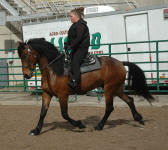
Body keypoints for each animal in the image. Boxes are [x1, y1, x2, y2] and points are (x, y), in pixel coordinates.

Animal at [17, 38, 154, 135]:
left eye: (25, 55)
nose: (26, 75)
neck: (54, 70)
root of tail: (120, 62)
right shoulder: (47, 94)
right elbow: (42, 113)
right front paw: (36, 130)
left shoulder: (63, 95)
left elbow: (64, 114)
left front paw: (80, 124)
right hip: (117, 88)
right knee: (129, 100)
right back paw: (139, 118)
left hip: (109, 89)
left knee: (110, 107)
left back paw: (99, 126)